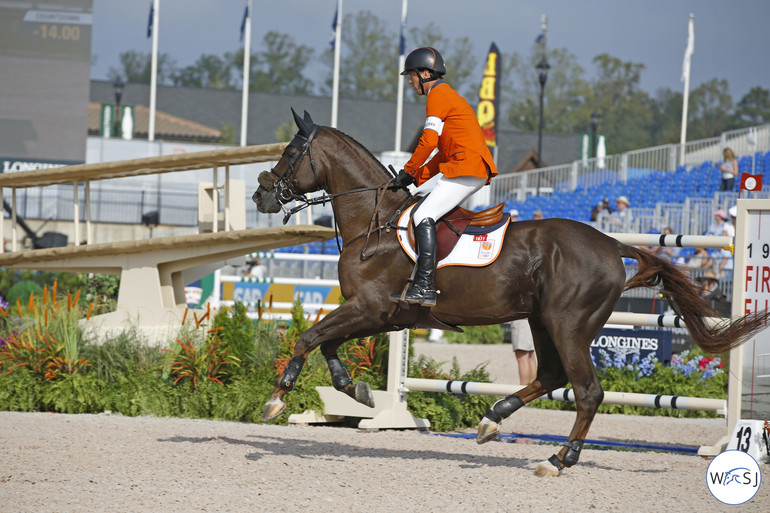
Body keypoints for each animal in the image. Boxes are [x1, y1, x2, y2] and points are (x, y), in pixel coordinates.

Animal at [254, 110, 768, 478]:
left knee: (587, 391)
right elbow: (328, 343)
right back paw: (492, 419)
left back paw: (558, 459)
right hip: (542, 321)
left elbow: (309, 336)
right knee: (552, 375)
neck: (375, 222)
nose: (261, 196)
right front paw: (355, 390)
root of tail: (611, 244)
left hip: (568, 325)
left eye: (290, 152)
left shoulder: (371, 308)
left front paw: (277, 399)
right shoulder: (381, 315)